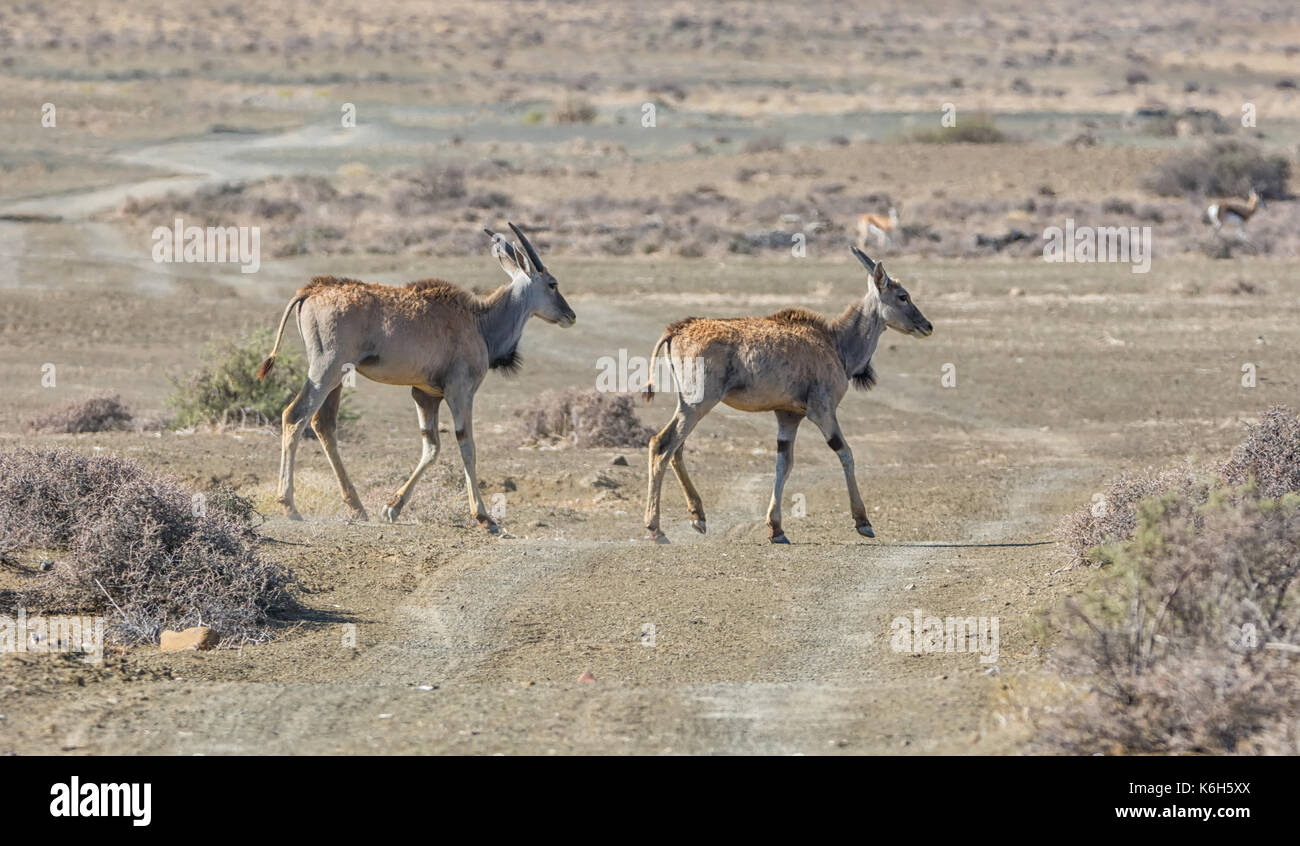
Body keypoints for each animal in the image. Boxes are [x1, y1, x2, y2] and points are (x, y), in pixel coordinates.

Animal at [256, 223, 572, 530]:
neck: (478, 321)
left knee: (323, 424)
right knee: (294, 416)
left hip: (336, 378)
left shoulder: (425, 394)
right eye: (553, 284)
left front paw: (391, 508)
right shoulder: (460, 390)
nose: (571, 315)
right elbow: (466, 444)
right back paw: (289, 505)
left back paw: (357, 507)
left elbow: (431, 447)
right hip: (325, 371)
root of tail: (313, 289)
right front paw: (484, 517)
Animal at [642, 248, 935, 545]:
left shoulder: (788, 416)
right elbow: (845, 452)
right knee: (662, 444)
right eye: (903, 296)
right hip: (697, 404)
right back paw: (656, 529)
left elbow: (784, 462)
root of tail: (677, 329)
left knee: (675, 448)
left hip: (689, 405)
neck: (836, 343)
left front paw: (777, 528)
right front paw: (863, 522)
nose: (927, 325)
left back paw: (698, 517)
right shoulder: (822, 411)